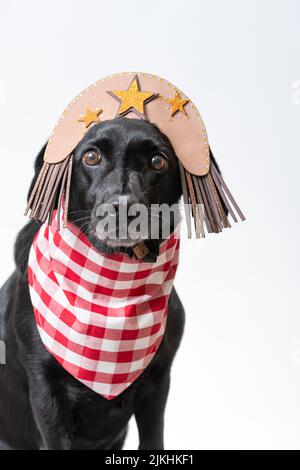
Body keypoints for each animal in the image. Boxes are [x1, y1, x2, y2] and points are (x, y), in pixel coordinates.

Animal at [0, 117, 185, 452]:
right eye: (91, 157)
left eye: (158, 161)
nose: (124, 209)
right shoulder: (46, 392)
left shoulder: (158, 381)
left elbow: (153, 441)